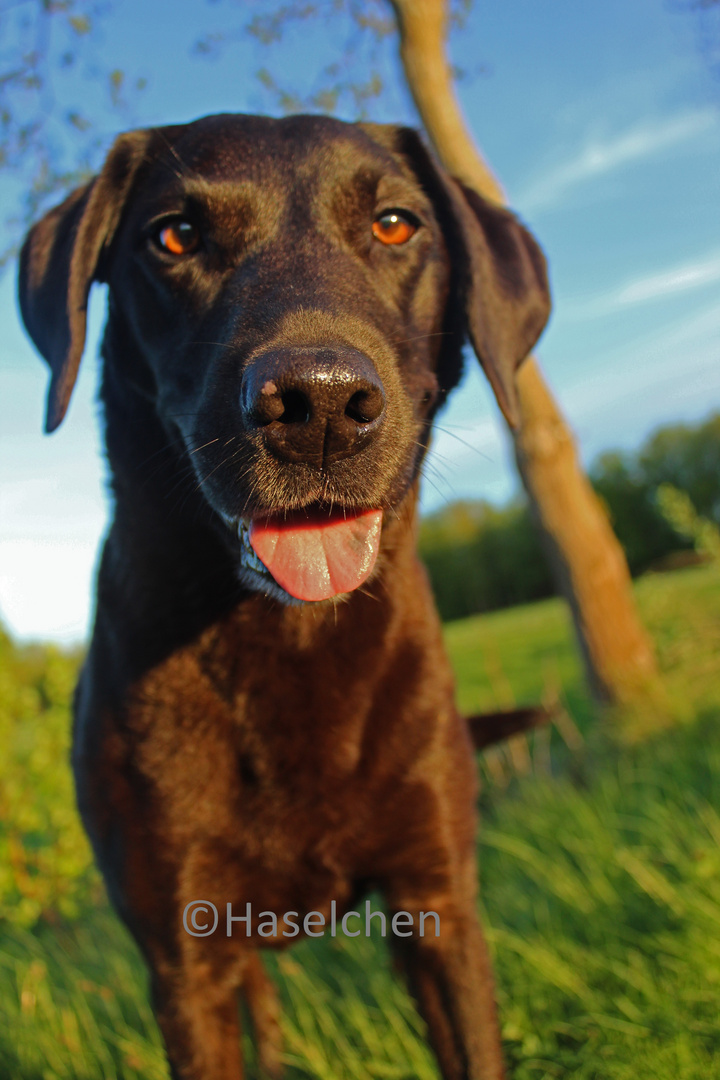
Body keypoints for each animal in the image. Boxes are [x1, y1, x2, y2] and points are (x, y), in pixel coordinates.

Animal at [18, 111, 552, 1080]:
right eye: (175, 237)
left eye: (394, 225)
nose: (321, 405)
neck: (291, 643)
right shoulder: (185, 957)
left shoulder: (437, 899)